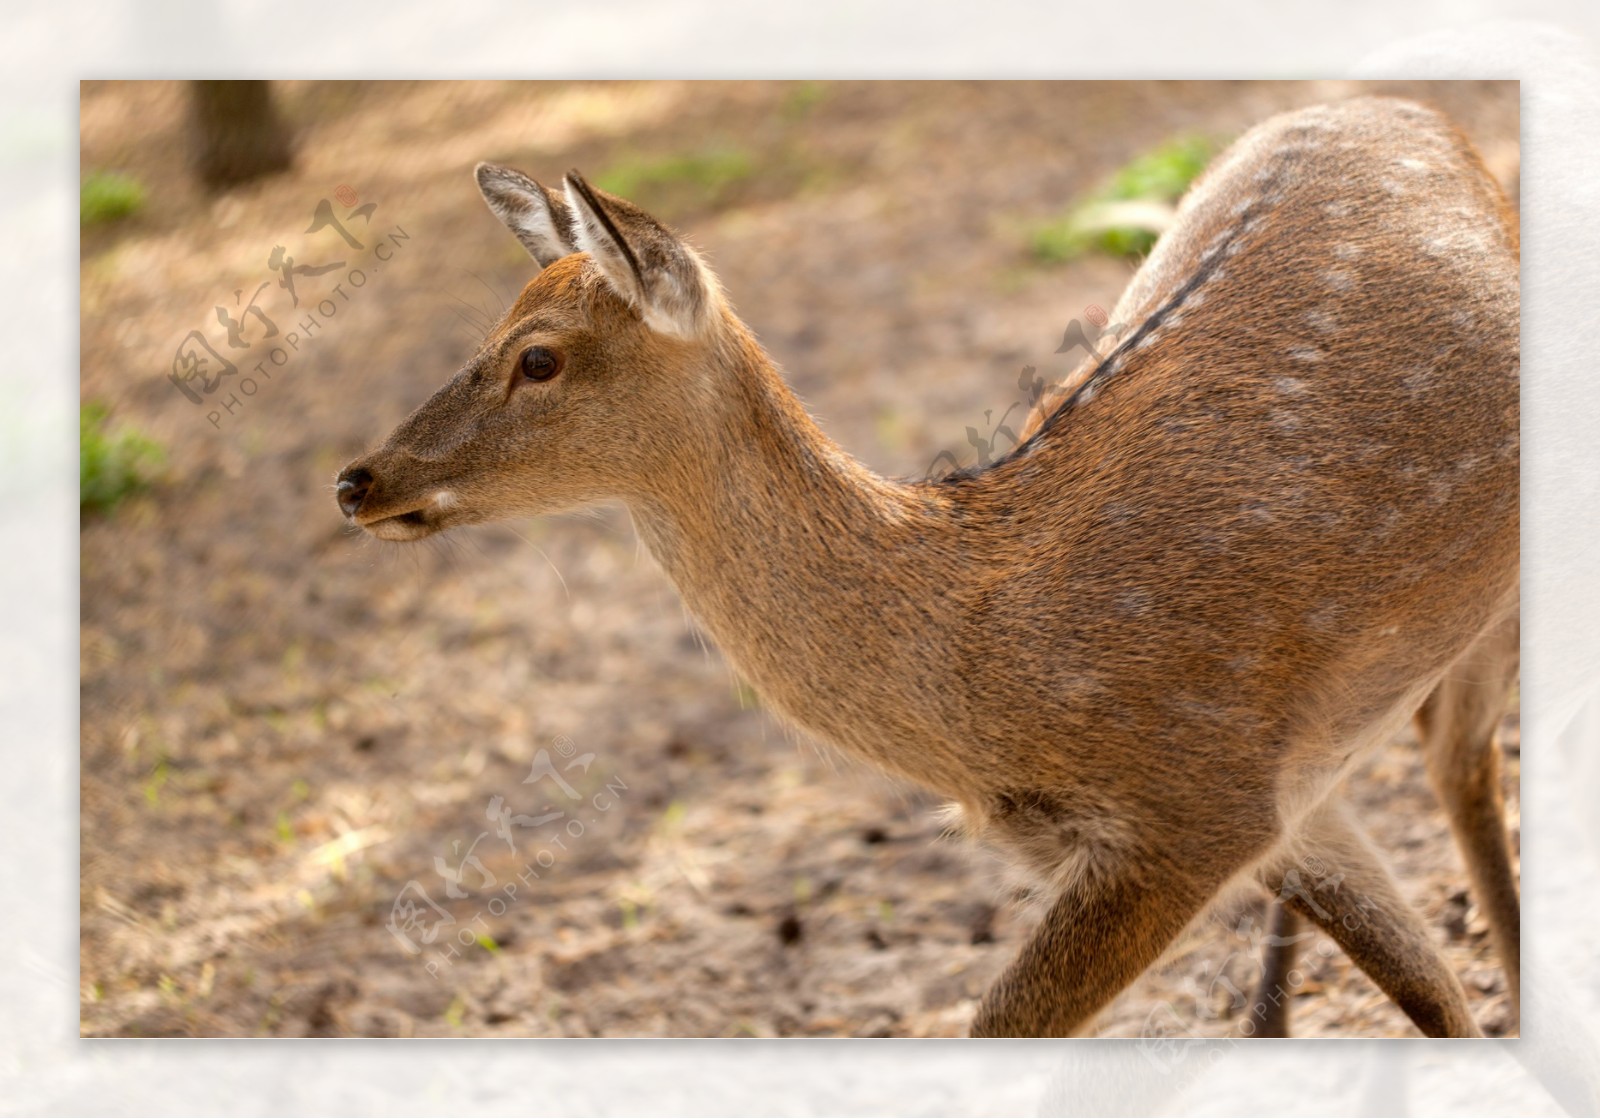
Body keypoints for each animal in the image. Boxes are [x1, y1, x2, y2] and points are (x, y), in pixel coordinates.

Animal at [334, 98, 1510, 1043]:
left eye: (537, 357)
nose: (355, 479)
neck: (982, 664)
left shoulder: (1195, 799)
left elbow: (1000, 1031)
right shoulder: (1285, 806)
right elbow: (1431, 998)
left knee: (1467, 756)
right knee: (1452, 767)